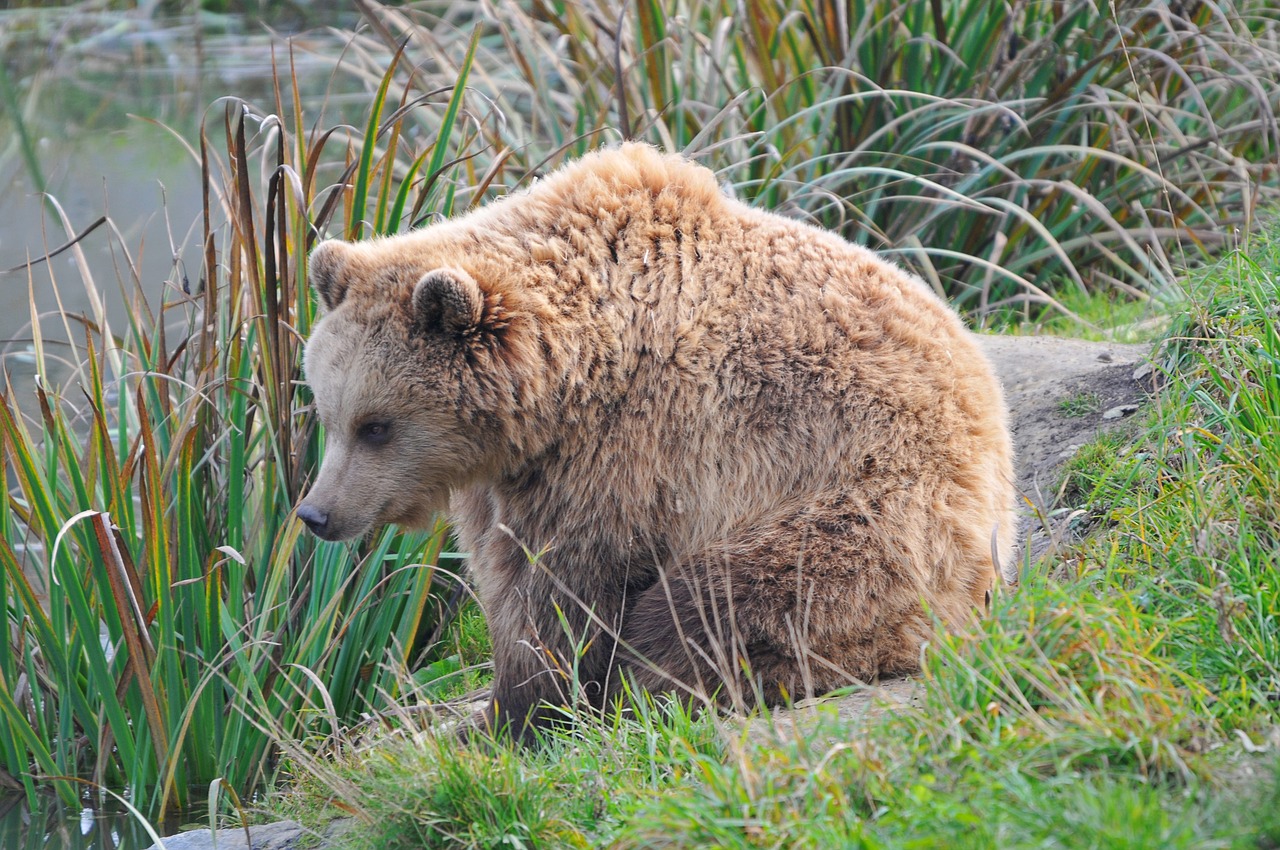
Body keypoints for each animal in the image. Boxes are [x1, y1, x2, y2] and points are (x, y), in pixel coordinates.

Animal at [294, 144, 1013, 737]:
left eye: (376, 425)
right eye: (327, 414)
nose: (316, 513)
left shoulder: (630, 448)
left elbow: (562, 588)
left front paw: (519, 715)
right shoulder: (509, 472)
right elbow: (504, 577)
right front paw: (486, 715)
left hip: (865, 517)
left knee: (718, 603)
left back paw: (657, 686)